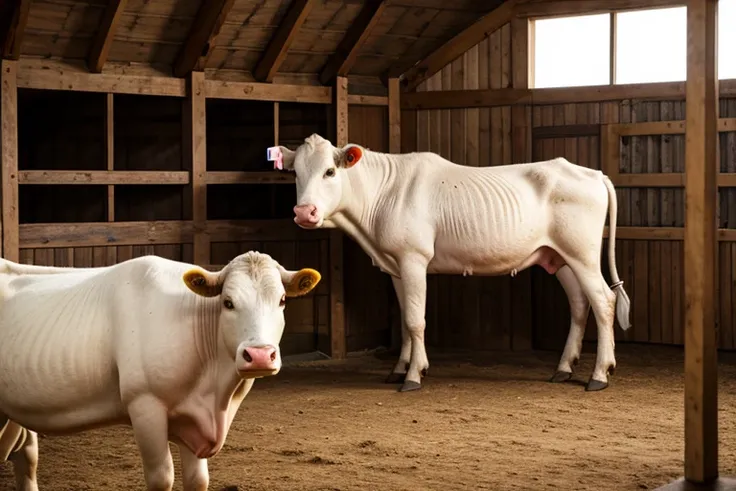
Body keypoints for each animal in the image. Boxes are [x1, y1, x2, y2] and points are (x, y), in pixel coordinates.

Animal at [0, 252, 322, 490]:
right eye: (228, 303)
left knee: (26, 459)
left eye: (282, 300)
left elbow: (198, 480)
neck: (216, 395)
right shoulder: (145, 406)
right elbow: (161, 477)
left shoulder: (194, 420)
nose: (259, 355)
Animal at [274, 135, 628, 396]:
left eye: (329, 172)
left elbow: (416, 320)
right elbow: (404, 318)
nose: (304, 212)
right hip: (560, 257)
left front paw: (414, 375)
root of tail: (593, 173)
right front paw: (399, 368)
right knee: (580, 303)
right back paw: (564, 368)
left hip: (582, 253)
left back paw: (600, 374)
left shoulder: (414, 258)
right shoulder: (395, 266)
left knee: (603, 301)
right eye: (296, 174)